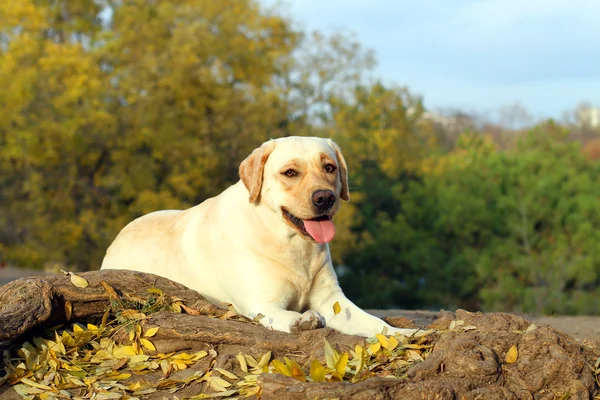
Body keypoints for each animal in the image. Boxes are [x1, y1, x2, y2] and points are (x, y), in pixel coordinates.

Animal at [101, 138, 420, 338]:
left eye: (329, 167)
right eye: (290, 172)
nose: (325, 198)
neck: (293, 244)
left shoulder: (332, 300)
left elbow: (374, 321)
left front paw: (405, 333)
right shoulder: (260, 303)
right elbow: (287, 315)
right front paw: (303, 320)